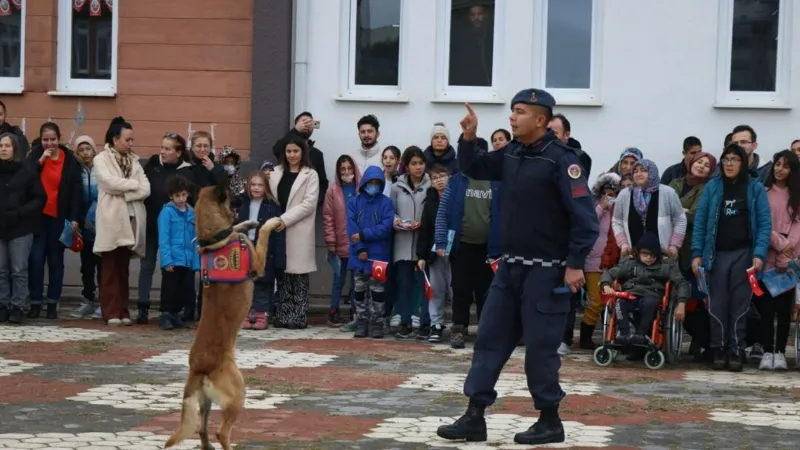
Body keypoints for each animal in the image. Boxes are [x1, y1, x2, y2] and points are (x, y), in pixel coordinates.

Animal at [162, 182, 282, 450]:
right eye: (232, 193)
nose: (244, 198)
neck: (213, 240)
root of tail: (198, 368)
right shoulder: (258, 264)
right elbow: (264, 235)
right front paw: (269, 223)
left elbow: (237, 228)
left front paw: (248, 223)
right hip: (238, 392)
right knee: (221, 432)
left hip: (205, 402)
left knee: (201, 429)